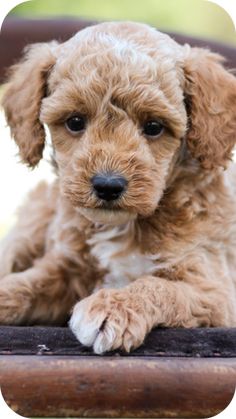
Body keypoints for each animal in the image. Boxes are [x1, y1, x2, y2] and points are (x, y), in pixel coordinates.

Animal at [0, 21, 236, 352]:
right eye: (75, 122)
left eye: (154, 127)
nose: (108, 185)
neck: (125, 226)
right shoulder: (66, 266)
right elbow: (26, 283)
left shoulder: (214, 291)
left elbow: (159, 286)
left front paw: (112, 307)